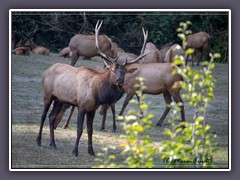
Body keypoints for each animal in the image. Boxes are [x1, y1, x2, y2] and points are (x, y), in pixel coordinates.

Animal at [36, 20, 148, 156]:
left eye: (125, 72)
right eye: (112, 70)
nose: (119, 81)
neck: (96, 93)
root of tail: (46, 71)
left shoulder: (92, 109)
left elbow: (90, 130)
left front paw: (91, 151)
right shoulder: (81, 106)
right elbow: (79, 129)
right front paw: (75, 151)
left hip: (59, 99)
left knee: (51, 117)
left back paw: (53, 143)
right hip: (47, 95)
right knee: (43, 115)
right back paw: (39, 141)